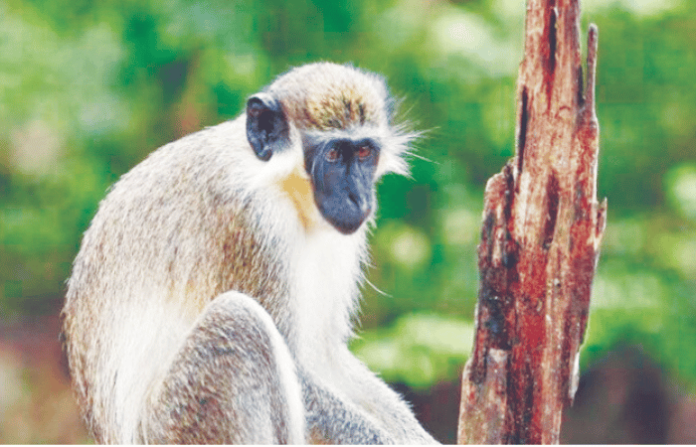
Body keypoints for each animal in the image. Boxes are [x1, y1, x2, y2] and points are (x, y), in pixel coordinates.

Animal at [61, 62, 438, 444]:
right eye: (333, 154)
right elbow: (299, 371)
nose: (358, 199)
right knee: (240, 320)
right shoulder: (251, 221)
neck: (275, 178)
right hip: (174, 424)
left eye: (364, 153)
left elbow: (323, 355)